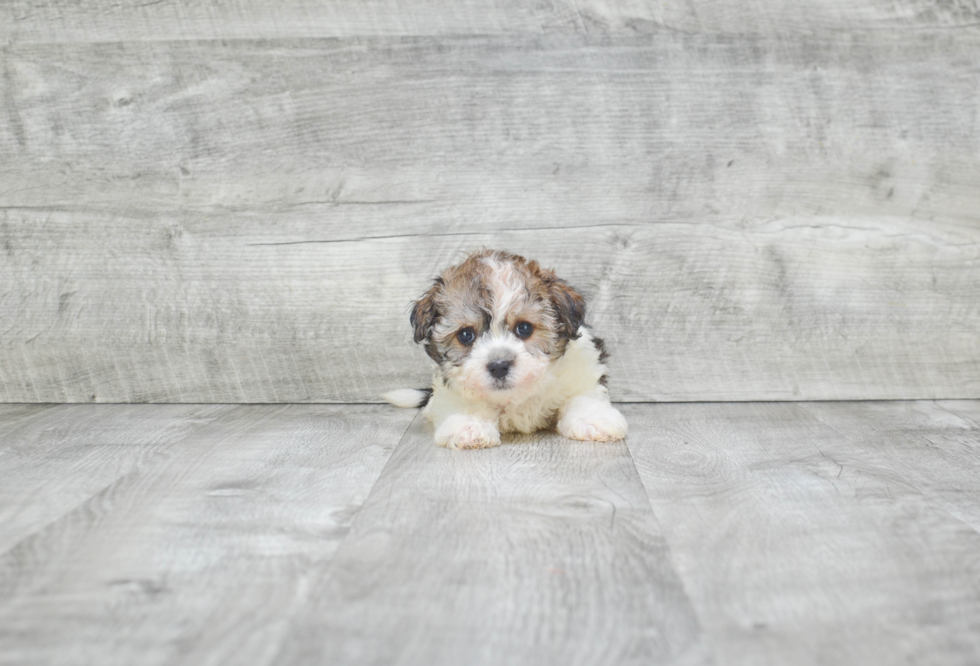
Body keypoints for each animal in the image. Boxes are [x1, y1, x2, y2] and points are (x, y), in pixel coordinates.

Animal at [382, 252, 628, 448]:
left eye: (524, 328)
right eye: (466, 335)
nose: (499, 366)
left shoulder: (581, 368)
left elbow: (582, 395)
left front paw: (592, 420)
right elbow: (466, 401)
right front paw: (468, 427)